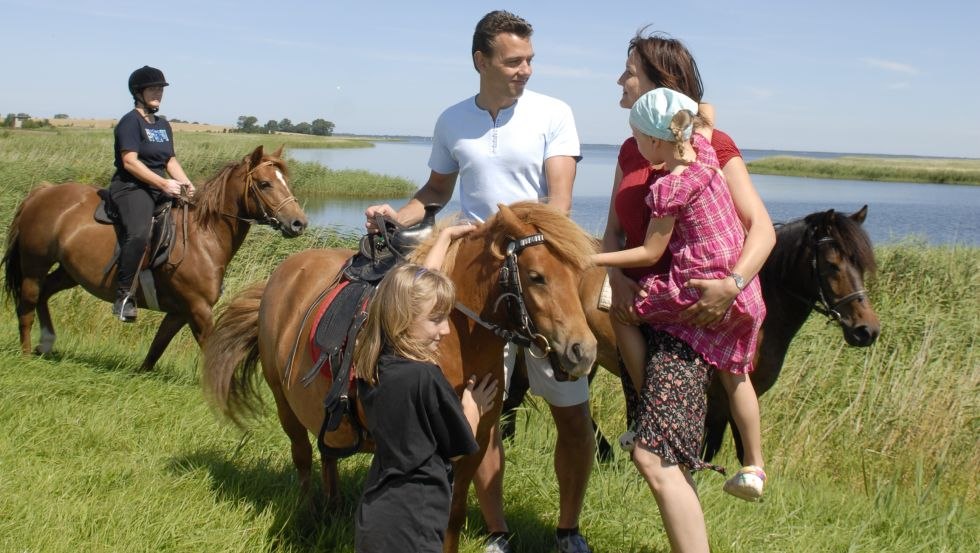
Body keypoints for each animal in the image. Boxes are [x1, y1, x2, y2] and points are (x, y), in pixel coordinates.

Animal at [1, 144, 306, 368]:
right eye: (265, 184)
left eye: (286, 182)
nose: (298, 223)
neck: (203, 236)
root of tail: (43, 192)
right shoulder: (198, 309)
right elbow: (210, 351)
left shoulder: (180, 311)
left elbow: (156, 348)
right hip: (34, 265)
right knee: (28, 304)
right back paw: (27, 353)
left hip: (68, 272)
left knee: (44, 294)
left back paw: (47, 342)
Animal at [203, 202, 592, 552]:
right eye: (537, 276)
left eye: (579, 277)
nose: (582, 351)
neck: (455, 339)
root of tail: (284, 271)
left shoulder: (474, 445)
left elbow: (452, 516)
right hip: (283, 402)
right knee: (302, 456)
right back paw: (310, 513)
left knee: (327, 453)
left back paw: (332, 506)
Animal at [506, 205, 880, 460]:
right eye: (832, 265)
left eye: (861, 264)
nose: (867, 330)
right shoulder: (715, 394)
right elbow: (711, 445)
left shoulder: (736, 395)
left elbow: (733, 443)